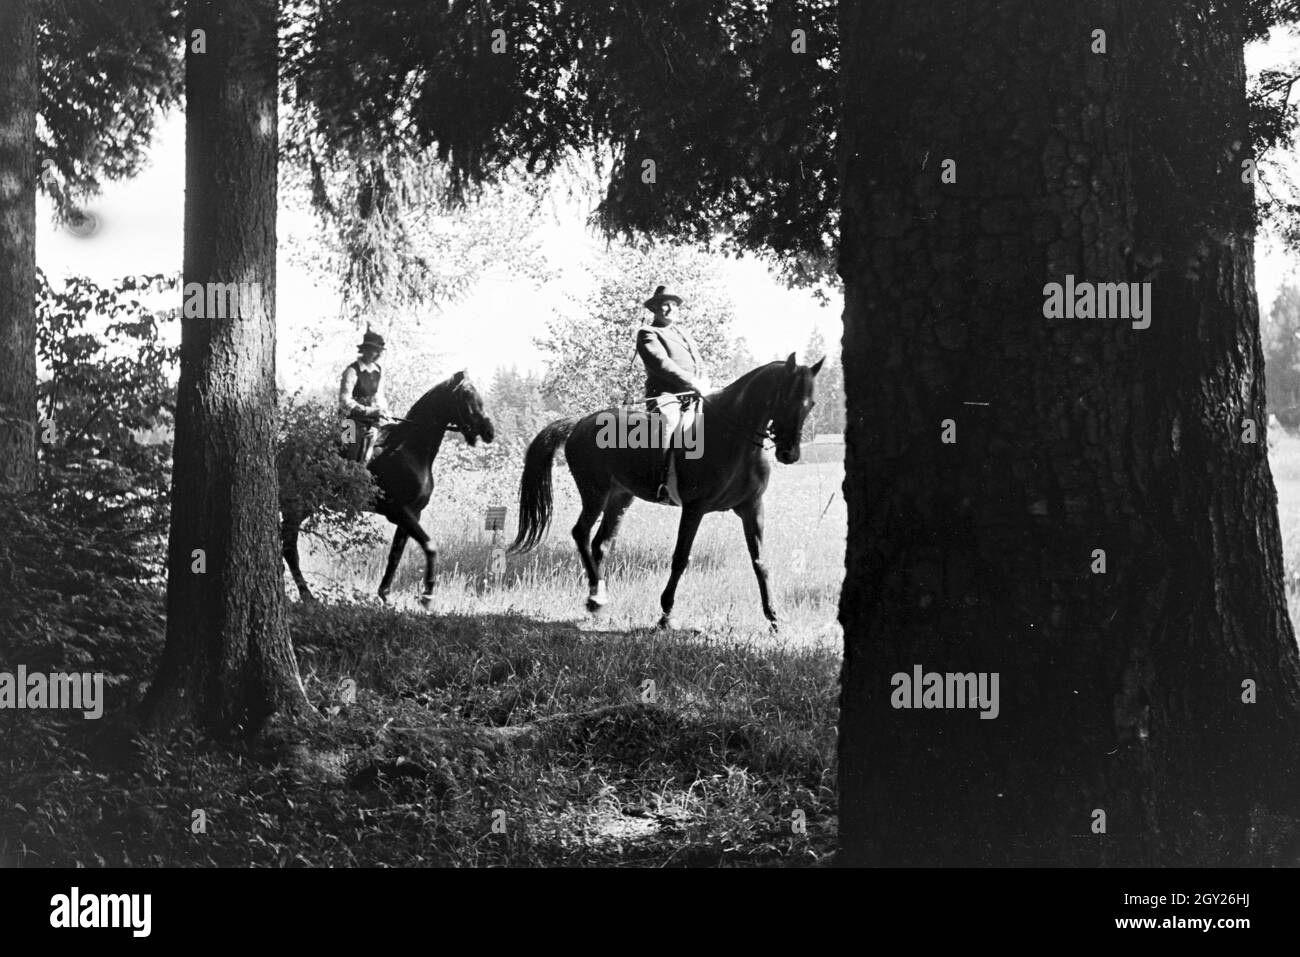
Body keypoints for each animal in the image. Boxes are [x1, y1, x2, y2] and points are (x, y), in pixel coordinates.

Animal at [278, 371, 491, 605]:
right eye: (467, 395)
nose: (489, 431)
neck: (409, 450)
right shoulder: (398, 511)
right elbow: (429, 546)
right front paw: (426, 595)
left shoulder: (413, 513)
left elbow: (396, 553)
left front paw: (385, 594)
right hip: (296, 506)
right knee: (289, 547)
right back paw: (307, 595)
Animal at [509, 356, 821, 631]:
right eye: (785, 399)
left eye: (811, 404)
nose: (789, 454)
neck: (733, 438)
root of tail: (580, 422)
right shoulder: (694, 508)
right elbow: (680, 558)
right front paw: (665, 614)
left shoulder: (751, 507)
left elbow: (760, 562)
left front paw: (773, 617)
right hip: (595, 494)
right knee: (581, 533)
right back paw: (595, 597)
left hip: (620, 498)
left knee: (601, 543)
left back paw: (600, 596)